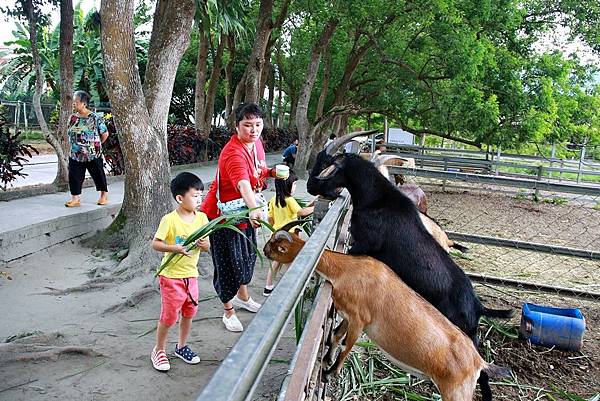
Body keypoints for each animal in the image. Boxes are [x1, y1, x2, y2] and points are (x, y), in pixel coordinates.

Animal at [262, 227, 510, 398]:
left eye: (276, 246)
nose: (263, 250)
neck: (348, 270)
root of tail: (479, 361)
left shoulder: (360, 320)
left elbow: (346, 347)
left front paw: (329, 372)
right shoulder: (348, 314)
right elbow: (335, 336)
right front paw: (324, 360)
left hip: (456, 392)